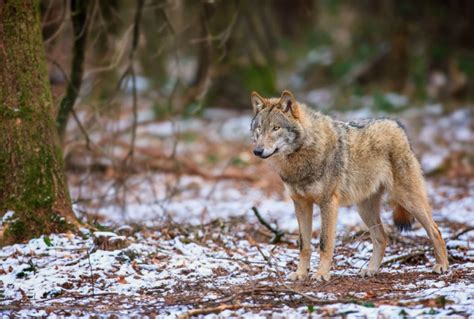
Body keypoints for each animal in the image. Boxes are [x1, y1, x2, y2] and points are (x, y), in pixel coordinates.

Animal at [250, 90, 450, 282]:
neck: (301, 157)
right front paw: (300, 274)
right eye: (259, 129)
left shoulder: (328, 203)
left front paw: (321, 274)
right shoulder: (300, 204)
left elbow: (324, 243)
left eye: (276, 128)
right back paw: (371, 270)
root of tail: (396, 123)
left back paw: (442, 266)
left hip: (407, 199)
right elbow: (304, 244)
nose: (257, 151)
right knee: (382, 238)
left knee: (435, 230)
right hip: (364, 209)